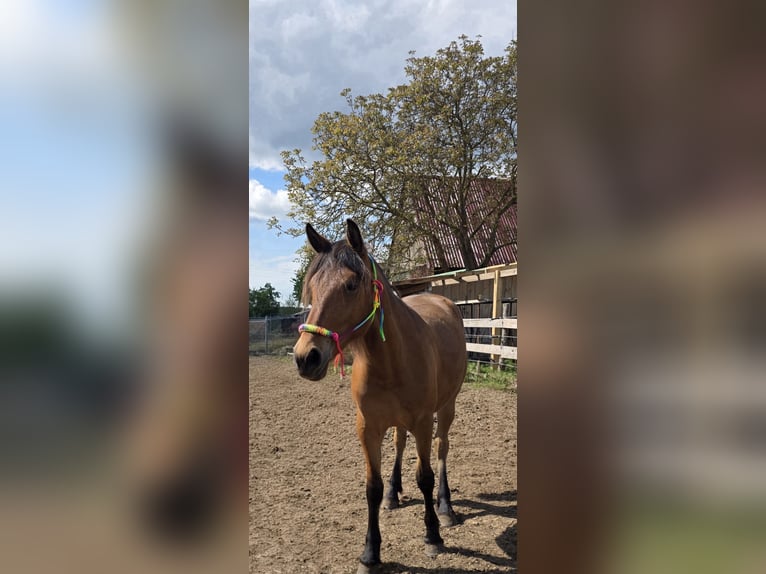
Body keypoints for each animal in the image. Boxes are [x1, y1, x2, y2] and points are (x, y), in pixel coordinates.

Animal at [293, 219, 468, 573]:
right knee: (399, 443)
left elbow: (425, 477)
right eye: (312, 287)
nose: (306, 357)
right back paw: (394, 493)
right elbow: (372, 488)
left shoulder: (423, 423)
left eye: (350, 285)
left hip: (446, 408)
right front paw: (370, 552)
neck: (392, 359)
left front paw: (432, 536)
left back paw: (445, 508)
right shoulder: (368, 427)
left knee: (442, 449)